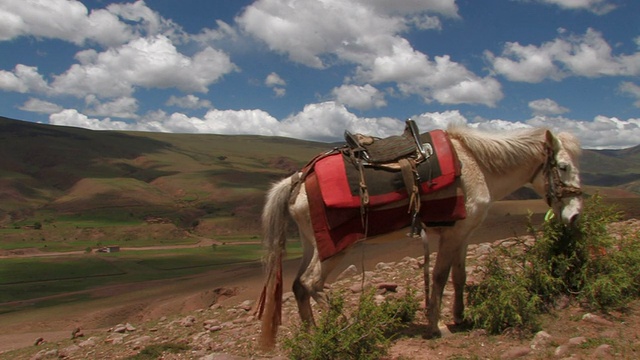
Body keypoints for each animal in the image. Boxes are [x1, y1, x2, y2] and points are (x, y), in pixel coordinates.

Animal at [255, 124, 580, 348]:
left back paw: (313, 335)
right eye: (563, 167)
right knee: (311, 283)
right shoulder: (451, 236)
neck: (476, 163)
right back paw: (345, 326)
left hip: (313, 245)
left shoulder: (463, 234)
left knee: (298, 286)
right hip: (335, 248)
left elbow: (459, 276)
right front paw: (438, 326)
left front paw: (460, 317)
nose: (575, 215)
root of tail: (298, 180)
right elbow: (439, 277)